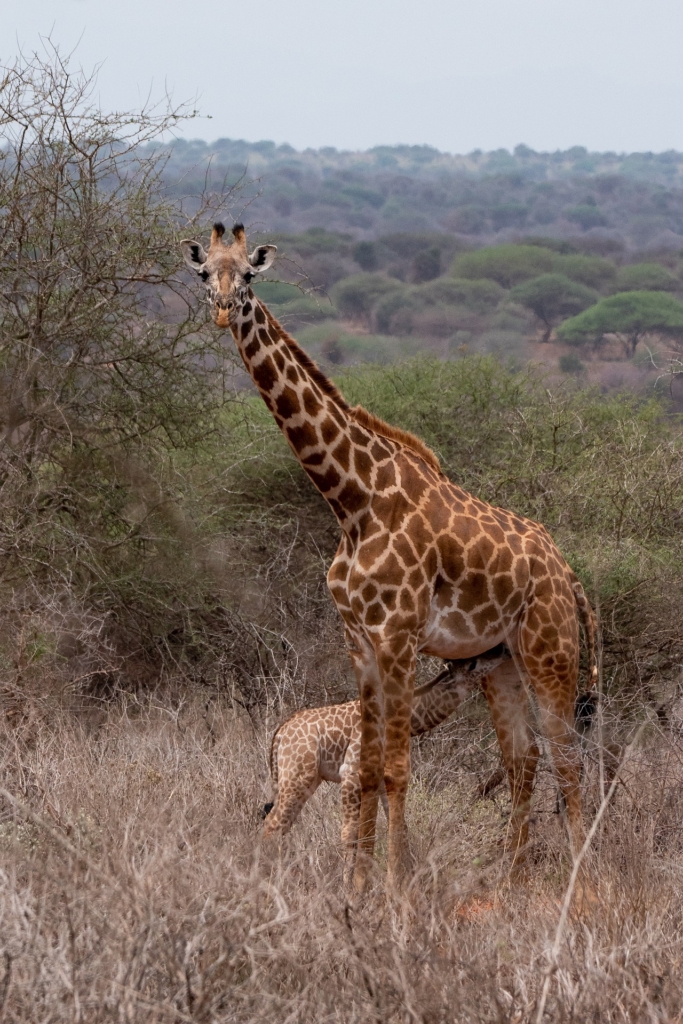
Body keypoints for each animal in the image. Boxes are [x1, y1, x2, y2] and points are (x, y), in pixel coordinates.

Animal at [264, 643, 509, 851]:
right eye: (473, 663)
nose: (502, 650)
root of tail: (280, 733)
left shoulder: (383, 779)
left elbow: (397, 828)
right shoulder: (350, 773)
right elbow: (350, 835)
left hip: (304, 778)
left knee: (278, 823)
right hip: (298, 776)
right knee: (272, 826)